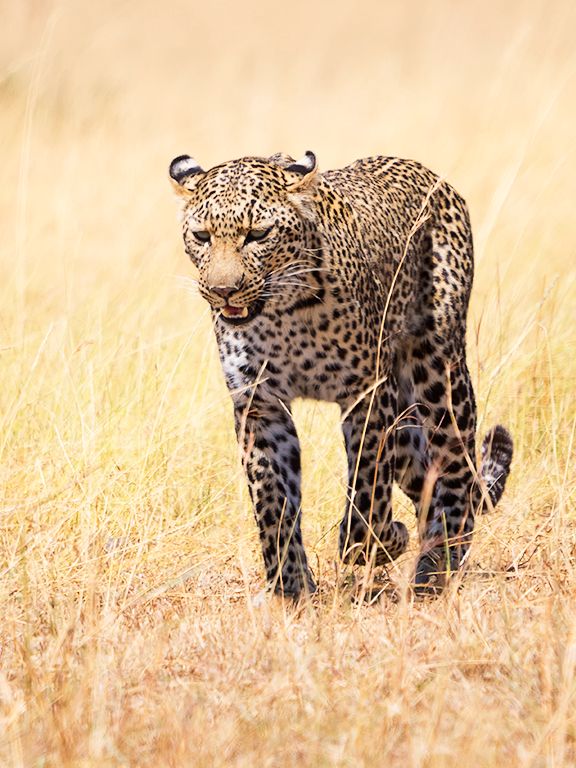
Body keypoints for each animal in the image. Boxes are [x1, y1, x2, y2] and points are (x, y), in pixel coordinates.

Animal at [169, 150, 513, 598]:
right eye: (202, 236)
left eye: (258, 234)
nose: (223, 291)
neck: (282, 311)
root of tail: (430, 175)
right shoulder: (259, 404)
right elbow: (272, 500)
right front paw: (291, 586)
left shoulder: (366, 392)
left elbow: (368, 487)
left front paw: (377, 544)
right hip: (405, 416)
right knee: (422, 471)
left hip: (438, 370)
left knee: (456, 473)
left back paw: (437, 568)